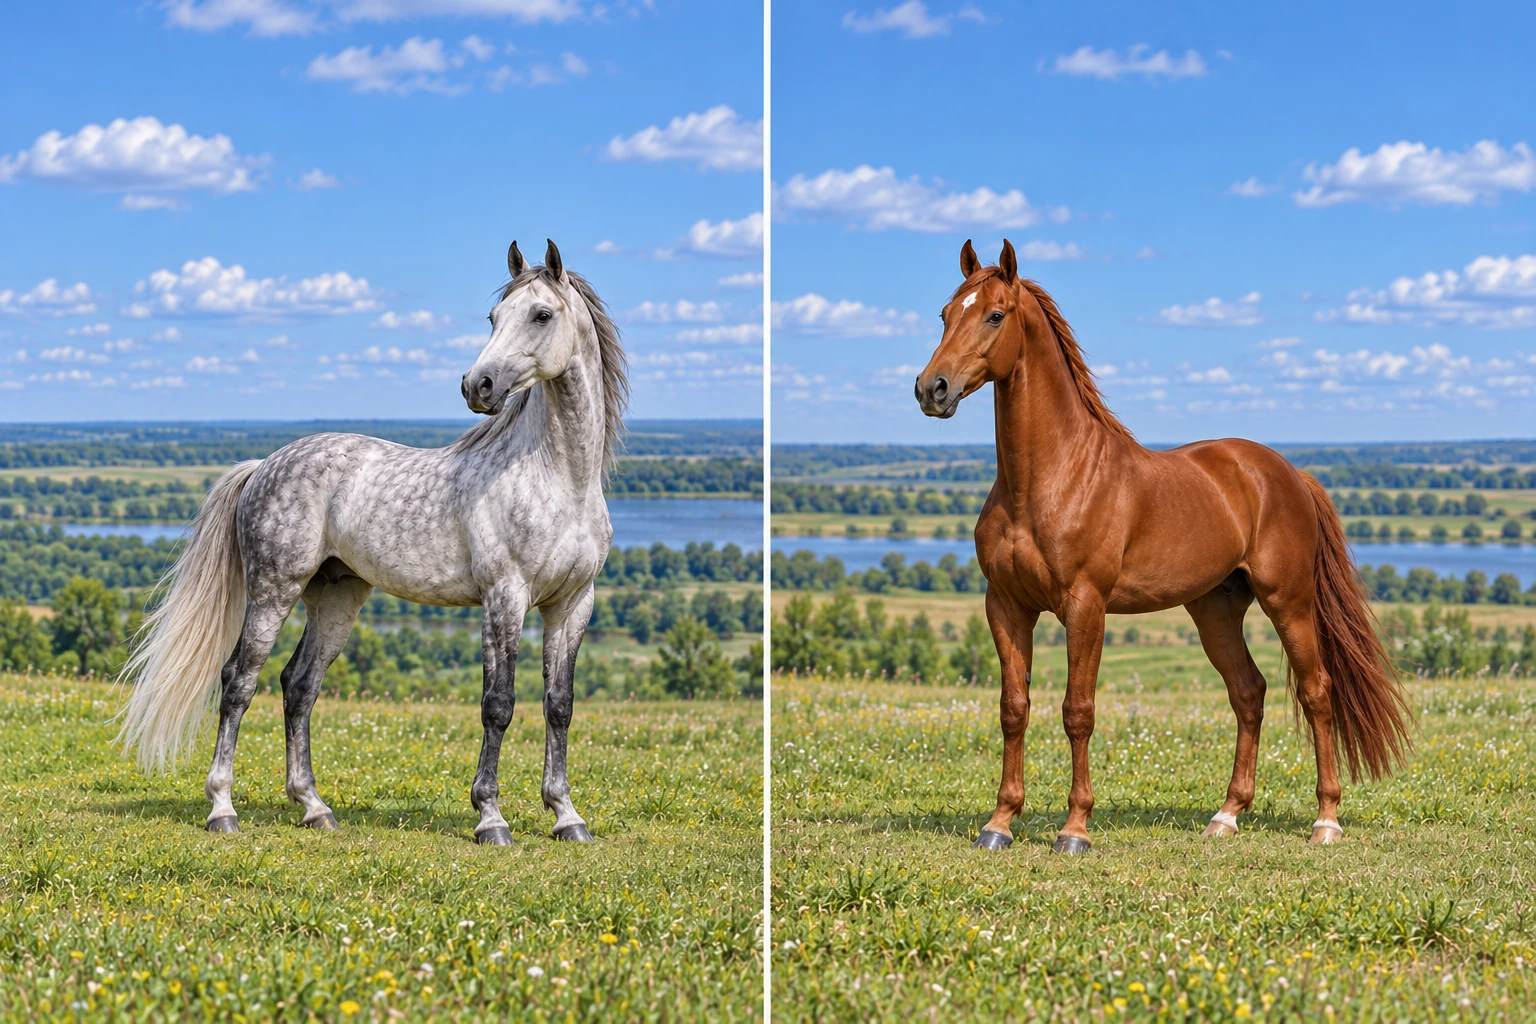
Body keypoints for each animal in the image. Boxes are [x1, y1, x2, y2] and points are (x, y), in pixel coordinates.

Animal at [118, 239, 627, 846]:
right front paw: (490, 818)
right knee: (239, 680)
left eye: (542, 315)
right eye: (493, 317)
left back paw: (314, 807)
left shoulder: (572, 604)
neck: (558, 479)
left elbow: (559, 706)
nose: (477, 386)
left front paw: (566, 815)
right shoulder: (505, 597)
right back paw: (223, 808)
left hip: (336, 597)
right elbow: (498, 704)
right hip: (274, 590)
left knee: (299, 685)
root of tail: (264, 464)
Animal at [913, 239, 1411, 854]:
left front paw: (1075, 830)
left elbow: (1078, 712)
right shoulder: (1005, 606)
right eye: (944, 314)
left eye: (995, 315)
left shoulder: (1086, 607)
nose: (931, 389)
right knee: (1249, 692)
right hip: (1215, 609)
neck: (1050, 478)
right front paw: (1000, 823)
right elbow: (1014, 709)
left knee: (1317, 693)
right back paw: (1226, 816)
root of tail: (1287, 473)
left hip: (1289, 603)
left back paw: (1326, 821)